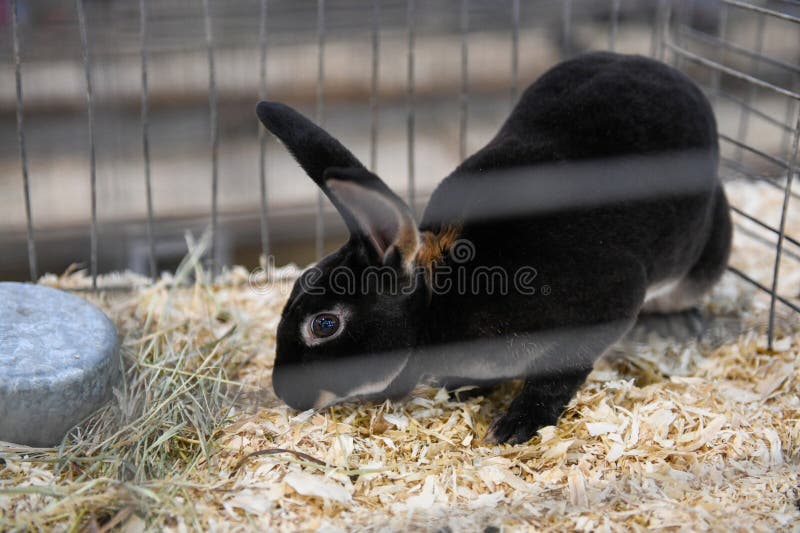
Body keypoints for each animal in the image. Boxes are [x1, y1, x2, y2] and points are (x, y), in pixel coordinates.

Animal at [257, 51, 732, 444]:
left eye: (324, 325)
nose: (284, 392)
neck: (444, 293)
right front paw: (464, 388)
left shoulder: (608, 299)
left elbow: (560, 374)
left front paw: (515, 427)